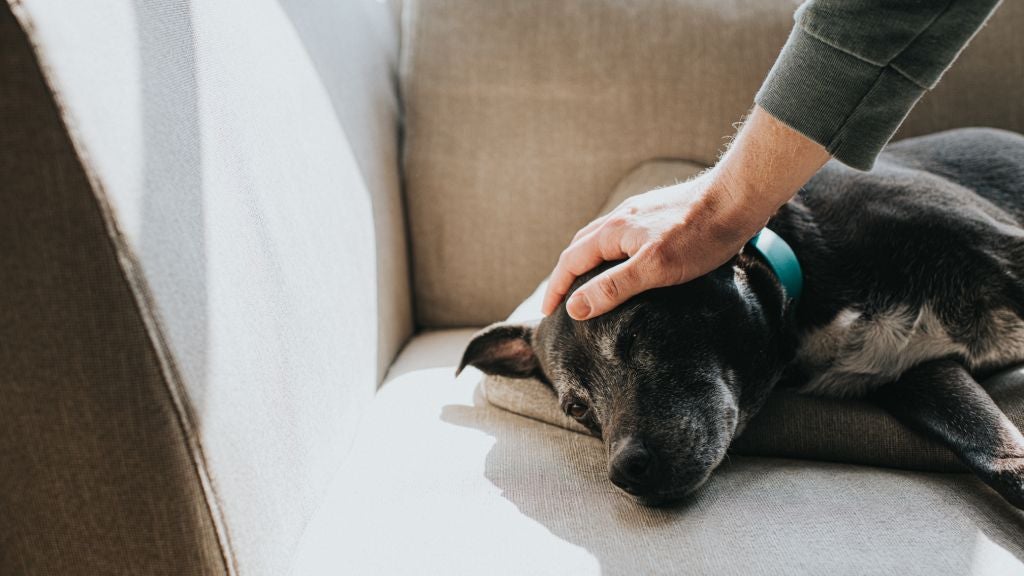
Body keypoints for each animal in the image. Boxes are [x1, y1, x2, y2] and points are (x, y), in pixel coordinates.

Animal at [458, 126, 1024, 506]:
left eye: (640, 332)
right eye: (576, 408)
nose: (626, 471)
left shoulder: (1004, 252)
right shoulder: (916, 372)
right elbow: (994, 451)